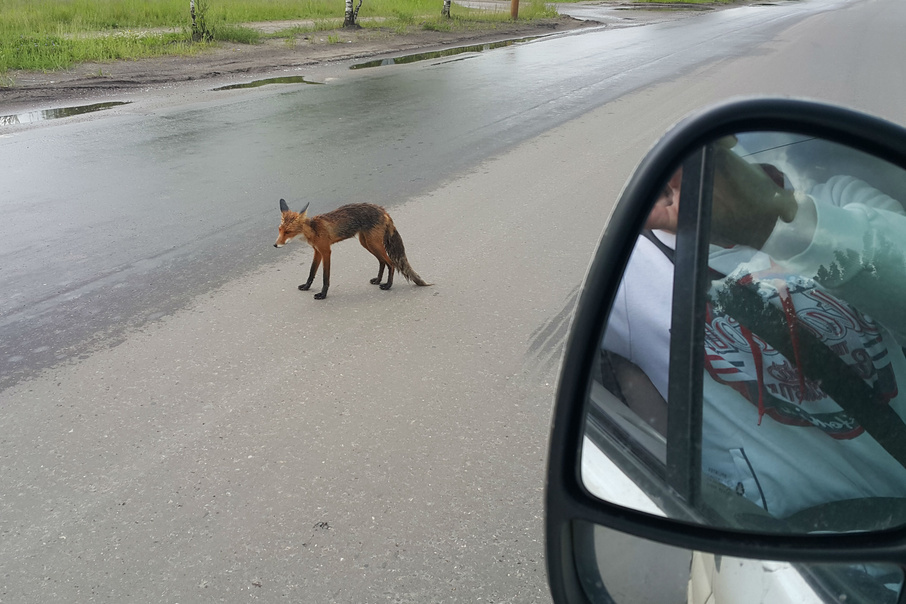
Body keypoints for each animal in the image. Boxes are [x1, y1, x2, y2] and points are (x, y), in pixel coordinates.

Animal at [274, 198, 430, 300]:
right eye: (280, 230)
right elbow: (311, 272)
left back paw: (387, 285)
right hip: (367, 243)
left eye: (288, 232)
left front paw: (323, 294)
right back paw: (378, 280)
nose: (275, 245)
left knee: (391, 263)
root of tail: (382, 210)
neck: (314, 230)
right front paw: (307, 286)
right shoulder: (317, 251)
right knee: (382, 262)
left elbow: (325, 277)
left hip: (373, 243)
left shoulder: (326, 251)